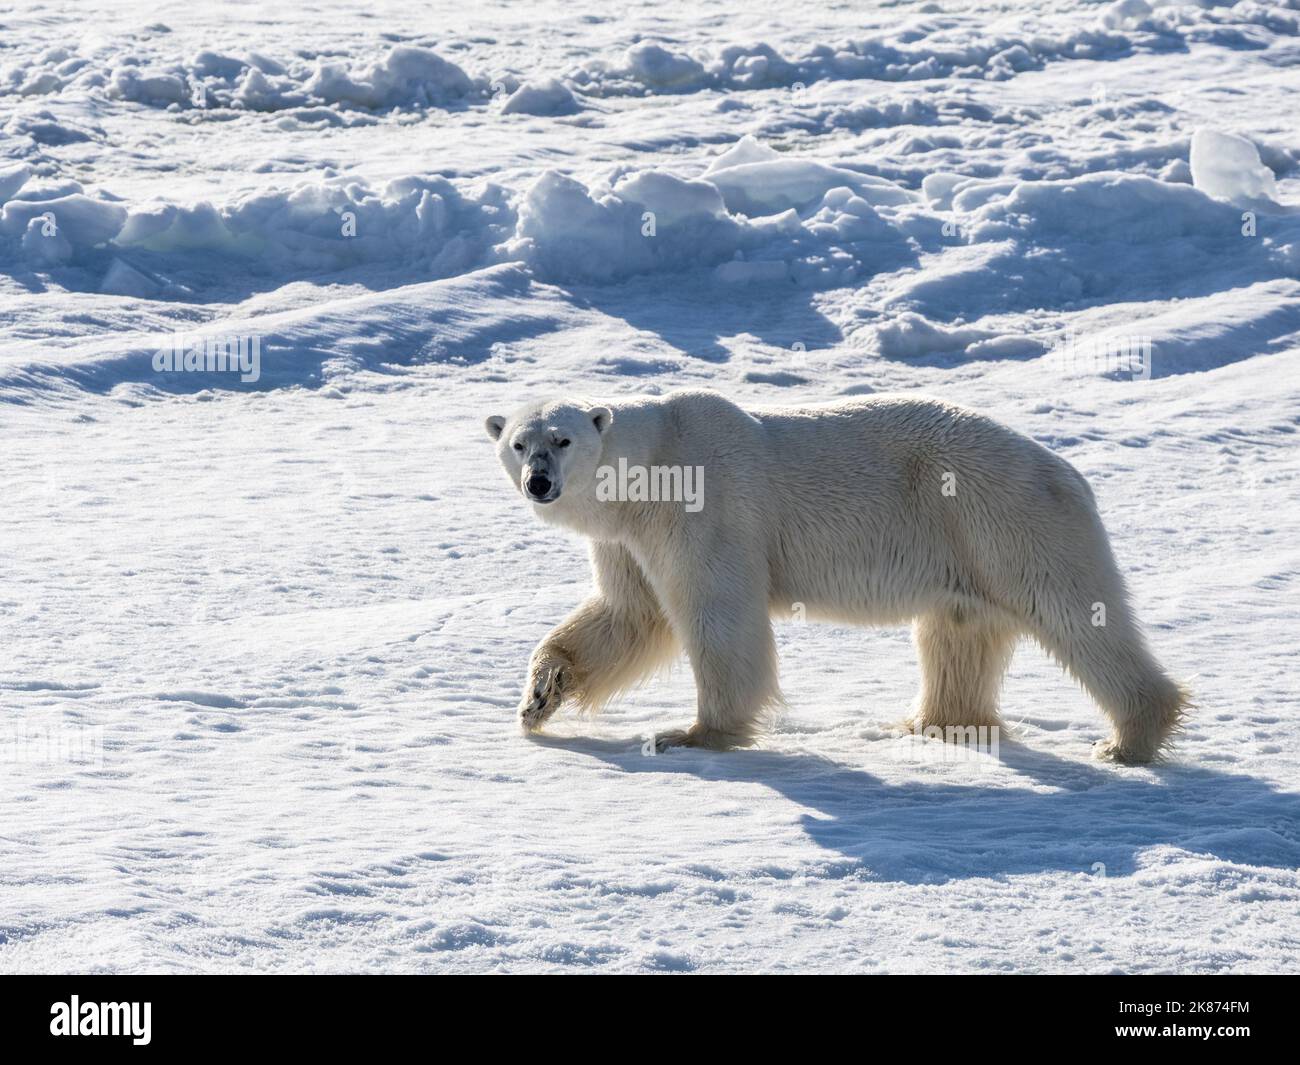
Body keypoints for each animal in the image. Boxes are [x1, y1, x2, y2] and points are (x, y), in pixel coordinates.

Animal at [486, 387, 1190, 764]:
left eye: (563, 439)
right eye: (518, 443)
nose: (539, 482)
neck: (652, 464)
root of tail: (1065, 471)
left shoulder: (706, 511)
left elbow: (717, 615)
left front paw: (693, 733)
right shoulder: (628, 539)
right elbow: (629, 614)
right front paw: (538, 698)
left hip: (1004, 519)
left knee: (1074, 613)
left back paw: (1128, 739)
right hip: (964, 546)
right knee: (957, 632)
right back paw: (934, 723)